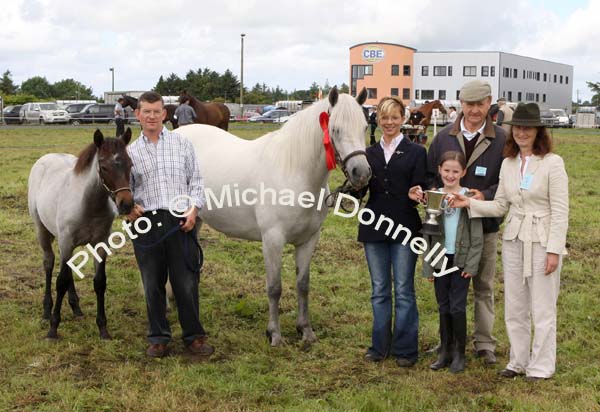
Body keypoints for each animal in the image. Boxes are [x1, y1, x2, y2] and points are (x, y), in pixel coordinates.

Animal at [27, 128, 132, 338]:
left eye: (130, 164)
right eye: (104, 167)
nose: (126, 204)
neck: (89, 205)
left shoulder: (101, 244)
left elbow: (99, 282)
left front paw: (103, 328)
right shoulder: (66, 242)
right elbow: (61, 281)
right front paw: (53, 328)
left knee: (69, 269)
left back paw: (75, 307)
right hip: (42, 230)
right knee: (49, 263)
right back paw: (46, 311)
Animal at [179, 87, 370, 348]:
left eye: (365, 127)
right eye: (336, 129)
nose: (361, 173)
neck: (293, 171)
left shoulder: (309, 240)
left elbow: (303, 285)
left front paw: (305, 331)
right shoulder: (272, 240)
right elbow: (274, 288)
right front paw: (275, 334)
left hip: (194, 220)